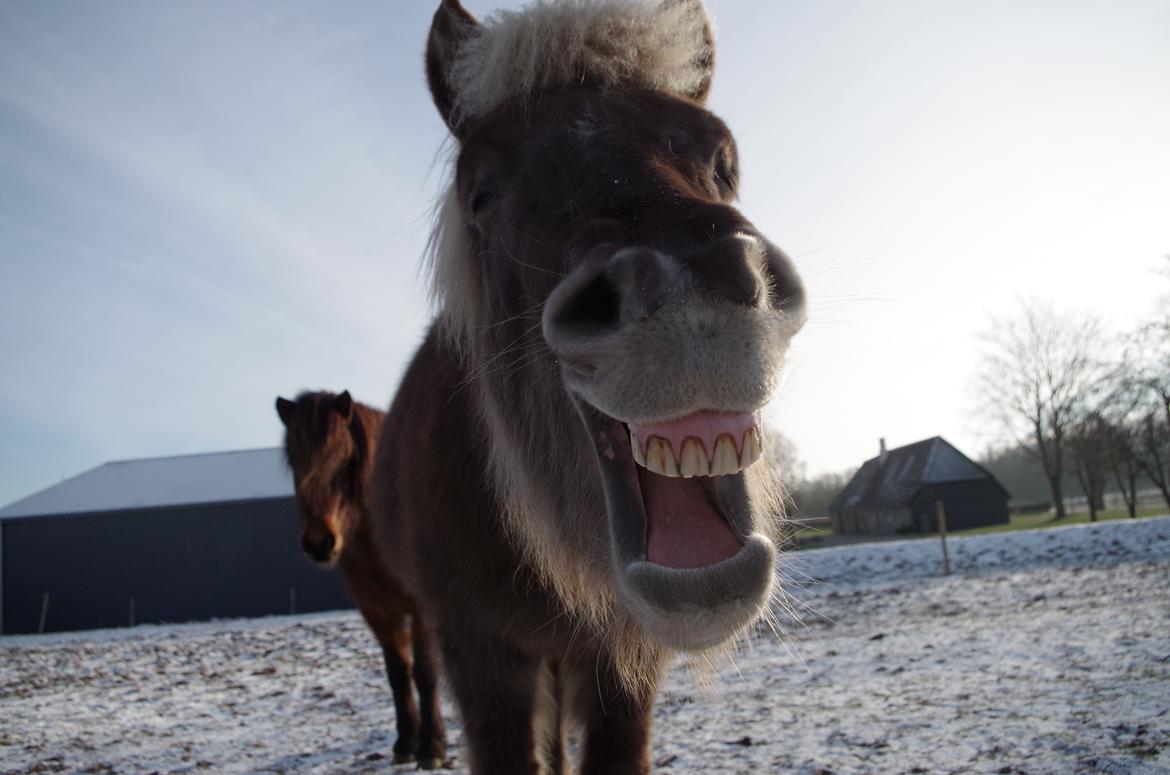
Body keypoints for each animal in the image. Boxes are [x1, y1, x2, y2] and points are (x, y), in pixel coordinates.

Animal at [273, 391, 446, 767]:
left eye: (345, 457)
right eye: (293, 457)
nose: (319, 542)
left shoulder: (421, 609)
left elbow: (425, 672)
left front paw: (433, 748)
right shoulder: (377, 612)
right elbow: (397, 673)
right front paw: (406, 743)